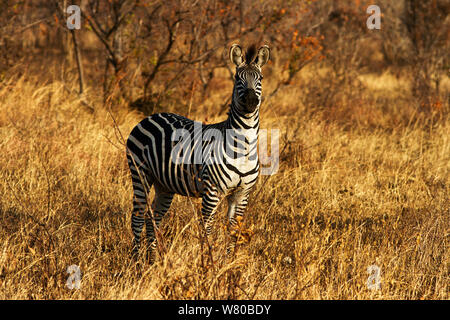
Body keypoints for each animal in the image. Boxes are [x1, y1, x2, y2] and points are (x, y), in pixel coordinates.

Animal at [125, 43, 268, 262]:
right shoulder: (211, 191)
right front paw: (209, 263)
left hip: (164, 185)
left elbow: (233, 230)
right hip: (140, 174)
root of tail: (149, 116)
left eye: (259, 78)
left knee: (153, 218)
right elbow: (207, 230)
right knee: (138, 216)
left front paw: (228, 263)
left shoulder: (242, 194)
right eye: (237, 78)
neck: (243, 147)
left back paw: (153, 261)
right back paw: (136, 262)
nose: (251, 101)